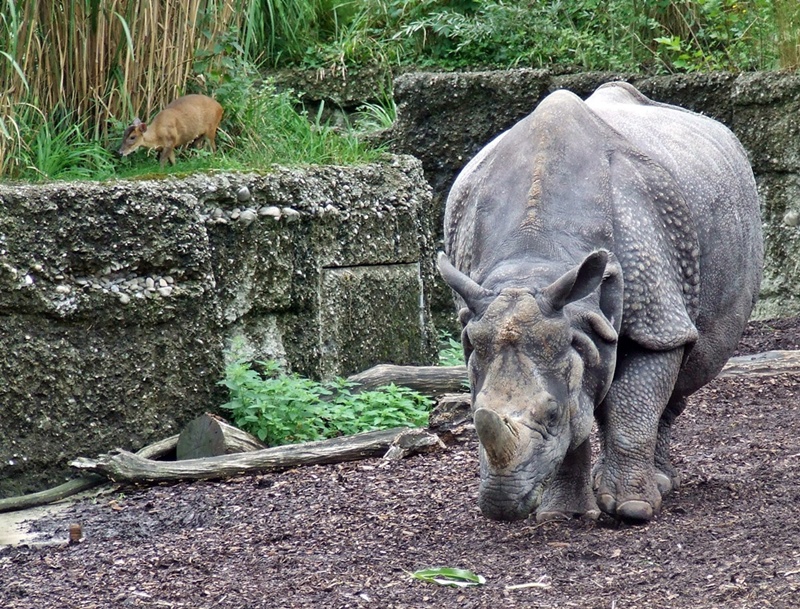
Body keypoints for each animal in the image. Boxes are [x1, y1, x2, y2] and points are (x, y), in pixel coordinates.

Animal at [438, 82, 763, 523]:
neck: (536, 260)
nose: (501, 506)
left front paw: (632, 509)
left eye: (550, 414)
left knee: (686, 367)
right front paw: (565, 515)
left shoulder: (656, 319)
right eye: (473, 417)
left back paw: (659, 485)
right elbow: (578, 413)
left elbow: (631, 403)